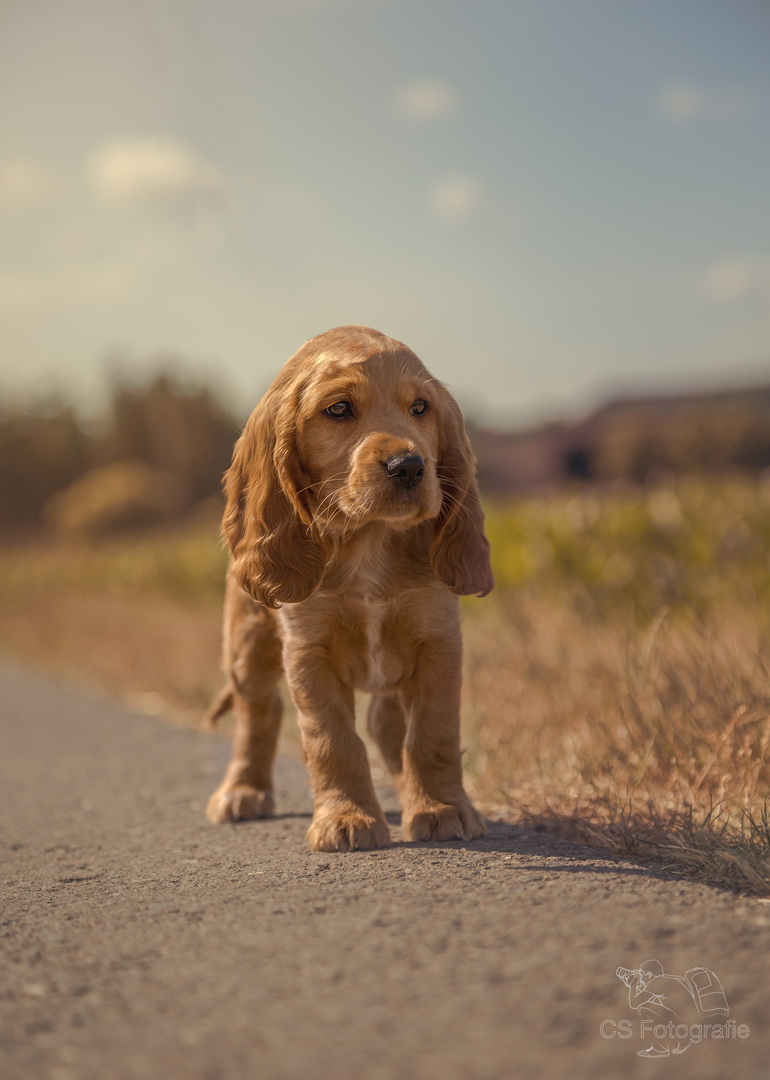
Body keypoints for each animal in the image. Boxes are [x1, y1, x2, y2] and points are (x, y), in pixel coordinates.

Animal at [204, 324, 492, 846]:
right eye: (338, 409)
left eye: (420, 407)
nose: (409, 466)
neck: (368, 540)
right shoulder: (306, 649)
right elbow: (332, 740)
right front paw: (347, 818)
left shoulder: (438, 638)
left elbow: (433, 733)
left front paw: (443, 808)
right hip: (247, 645)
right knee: (258, 715)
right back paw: (242, 790)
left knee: (385, 723)